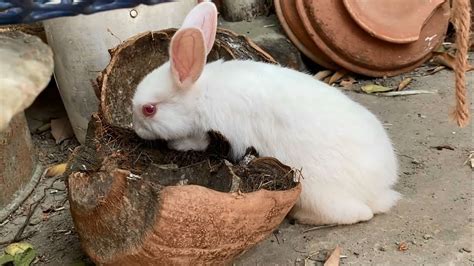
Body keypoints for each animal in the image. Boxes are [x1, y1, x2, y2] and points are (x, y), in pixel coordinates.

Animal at [132, 2, 400, 225]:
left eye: (149, 109)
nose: (137, 130)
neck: (200, 94)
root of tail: (380, 188)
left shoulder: (212, 131)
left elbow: (196, 142)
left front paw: (177, 146)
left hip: (317, 191)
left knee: (356, 214)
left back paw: (303, 217)